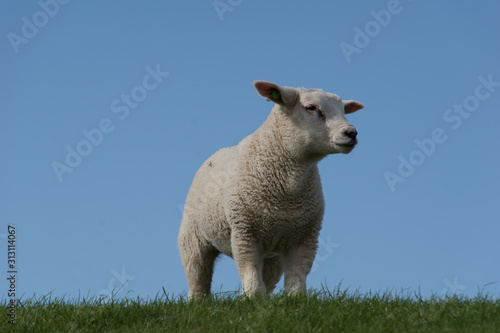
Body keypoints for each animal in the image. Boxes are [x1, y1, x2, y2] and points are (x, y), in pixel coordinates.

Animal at [179, 80, 364, 298]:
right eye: (311, 108)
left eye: (343, 109)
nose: (351, 133)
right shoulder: (244, 231)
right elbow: (250, 272)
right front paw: (252, 299)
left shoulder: (306, 237)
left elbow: (297, 276)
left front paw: (293, 299)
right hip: (193, 239)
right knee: (198, 277)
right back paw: (198, 301)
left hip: (273, 254)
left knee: (268, 278)